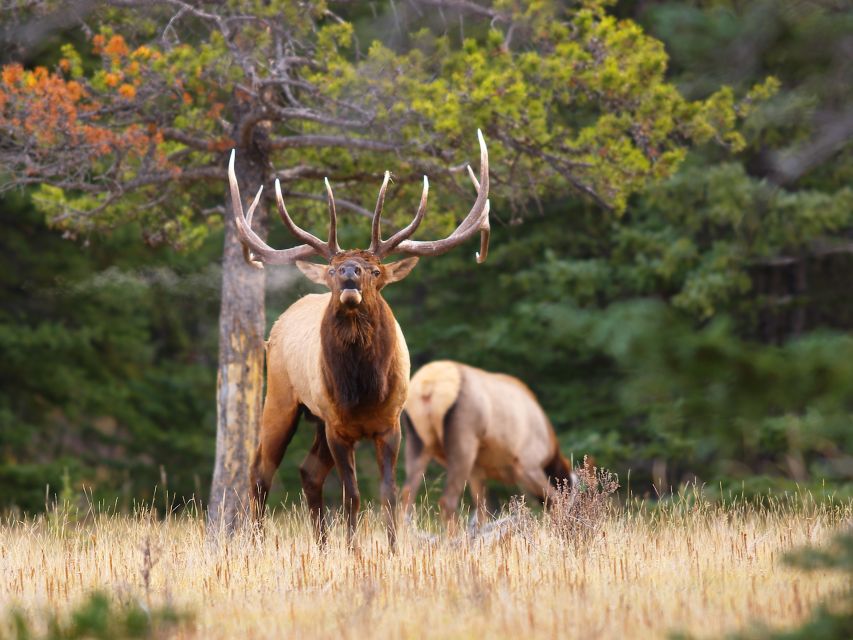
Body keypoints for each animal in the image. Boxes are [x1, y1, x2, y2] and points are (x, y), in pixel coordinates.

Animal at [230, 132, 490, 548]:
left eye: (375, 270)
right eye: (333, 269)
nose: (350, 272)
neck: (364, 391)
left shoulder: (391, 424)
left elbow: (388, 493)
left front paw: (392, 548)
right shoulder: (338, 427)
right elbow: (351, 494)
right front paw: (353, 551)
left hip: (315, 418)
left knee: (308, 471)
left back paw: (321, 546)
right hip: (282, 398)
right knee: (260, 469)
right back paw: (255, 544)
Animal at [400, 358, 572, 524]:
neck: (551, 450)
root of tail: (429, 385)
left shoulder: (477, 470)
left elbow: (482, 512)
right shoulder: (527, 464)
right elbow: (555, 499)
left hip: (417, 441)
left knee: (406, 494)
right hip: (464, 440)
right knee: (447, 501)